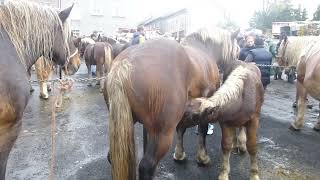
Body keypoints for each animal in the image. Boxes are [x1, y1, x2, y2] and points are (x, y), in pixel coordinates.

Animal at [104, 27, 239, 179]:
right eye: (237, 49)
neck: (204, 49)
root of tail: (125, 63)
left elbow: (181, 129)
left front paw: (179, 154)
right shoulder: (207, 105)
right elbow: (202, 131)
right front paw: (203, 158)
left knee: (111, 156)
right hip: (163, 134)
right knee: (146, 166)